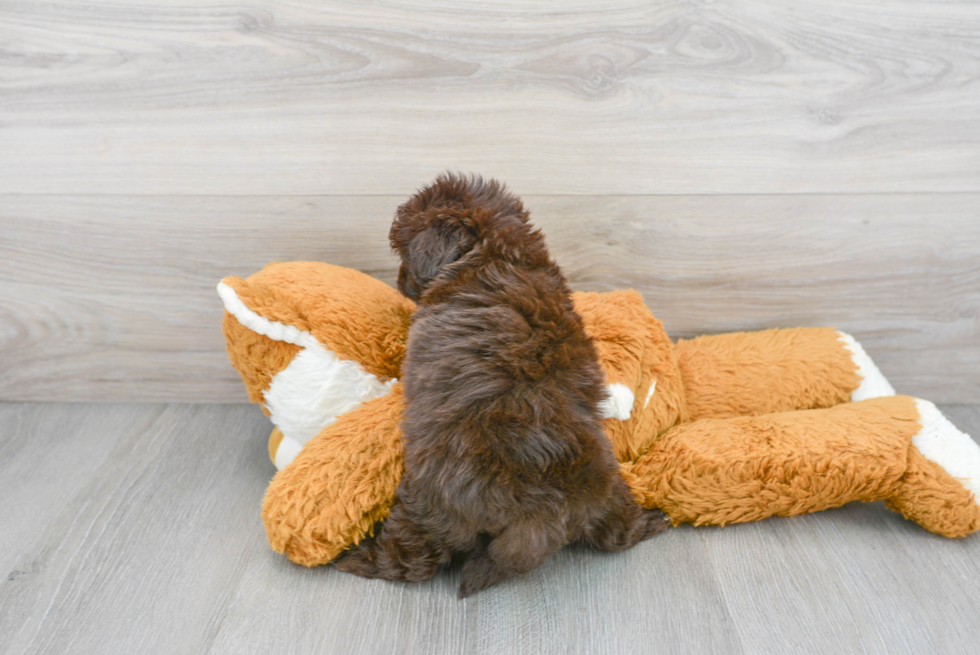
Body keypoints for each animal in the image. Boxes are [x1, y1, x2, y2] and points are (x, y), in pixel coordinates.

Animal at [334, 172, 668, 596]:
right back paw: (652, 521)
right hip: (607, 487)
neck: (499, 253)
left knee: (410, 559)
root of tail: (541, 513)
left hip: (425, 507)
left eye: (402, 252)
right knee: (618, 531)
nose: (398, 281)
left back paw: (356, 559)